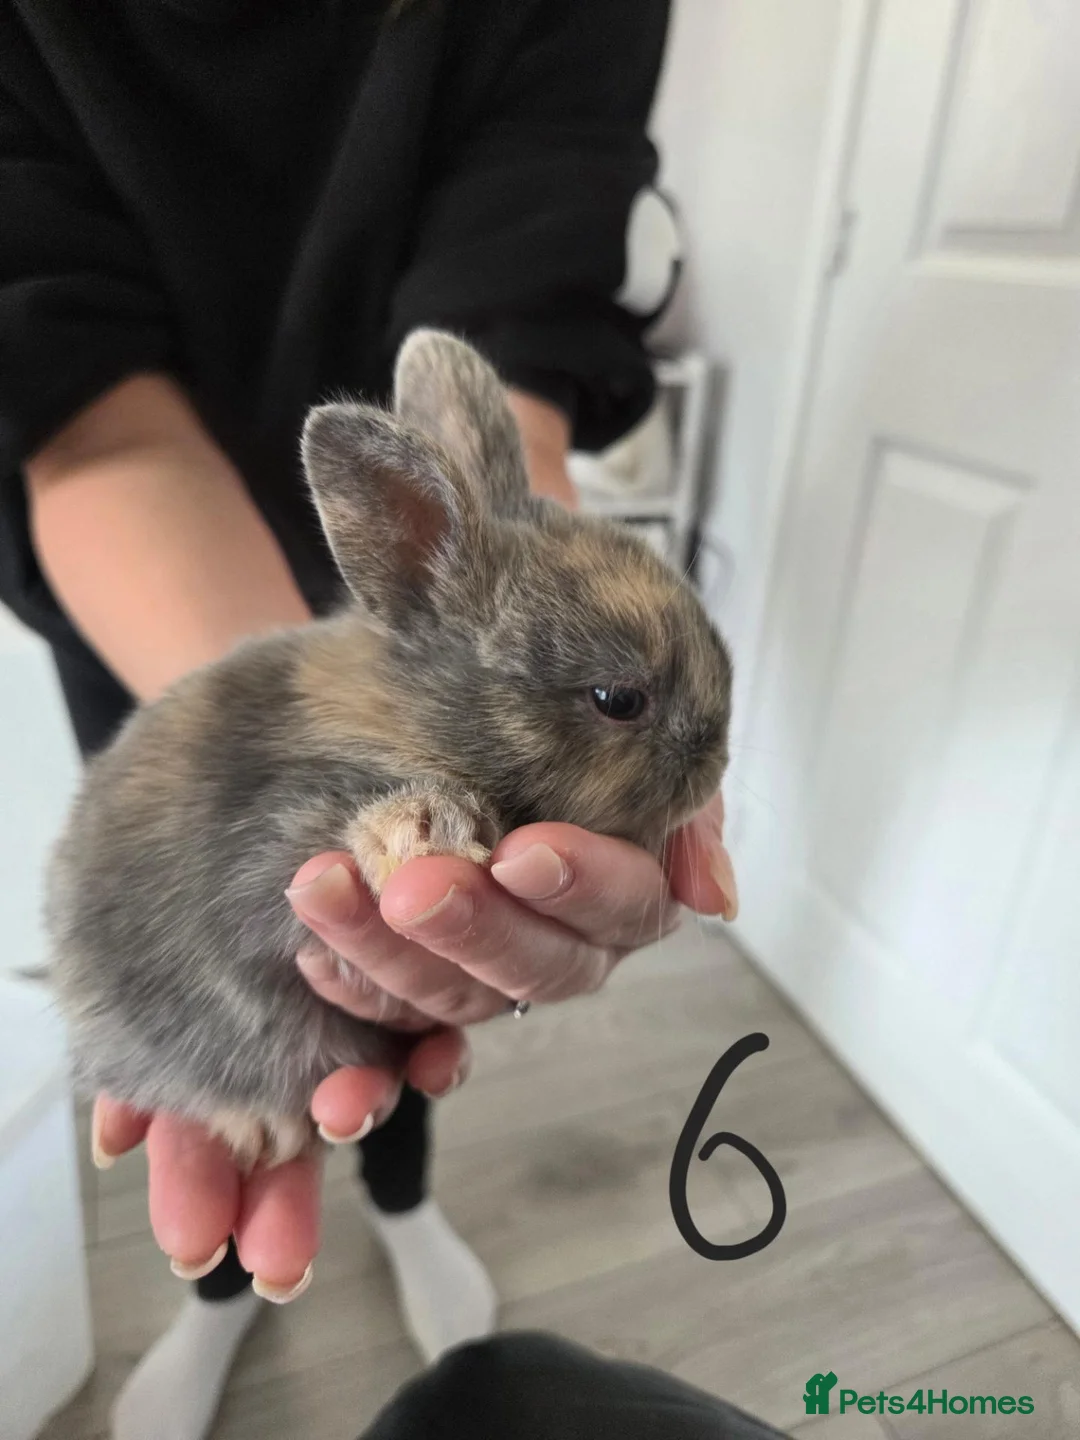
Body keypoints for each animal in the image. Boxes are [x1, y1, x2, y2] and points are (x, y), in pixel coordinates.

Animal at [47, 329, 733, 1171]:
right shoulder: (268, 845)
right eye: (618, 700)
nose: (717, 758)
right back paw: (258, 1126)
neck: (420, 718)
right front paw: (424, 831)